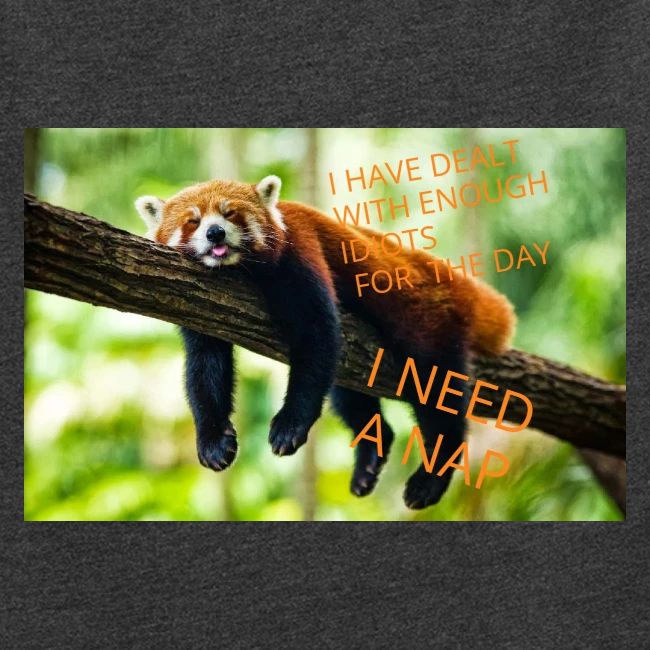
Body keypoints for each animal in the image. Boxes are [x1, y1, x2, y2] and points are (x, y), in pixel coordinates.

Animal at [136, 175, 515, 509]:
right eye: (193, 221)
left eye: (230, 214)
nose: (215, 232)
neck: (239, 270)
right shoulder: (200, 304)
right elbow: (205, 367)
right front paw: (213, 441)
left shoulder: (300, 252)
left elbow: (316, 336)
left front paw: (290, 425)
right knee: (348, 395)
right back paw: (370, 457)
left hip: (427, 322)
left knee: (436, 392)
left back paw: (431, 477)